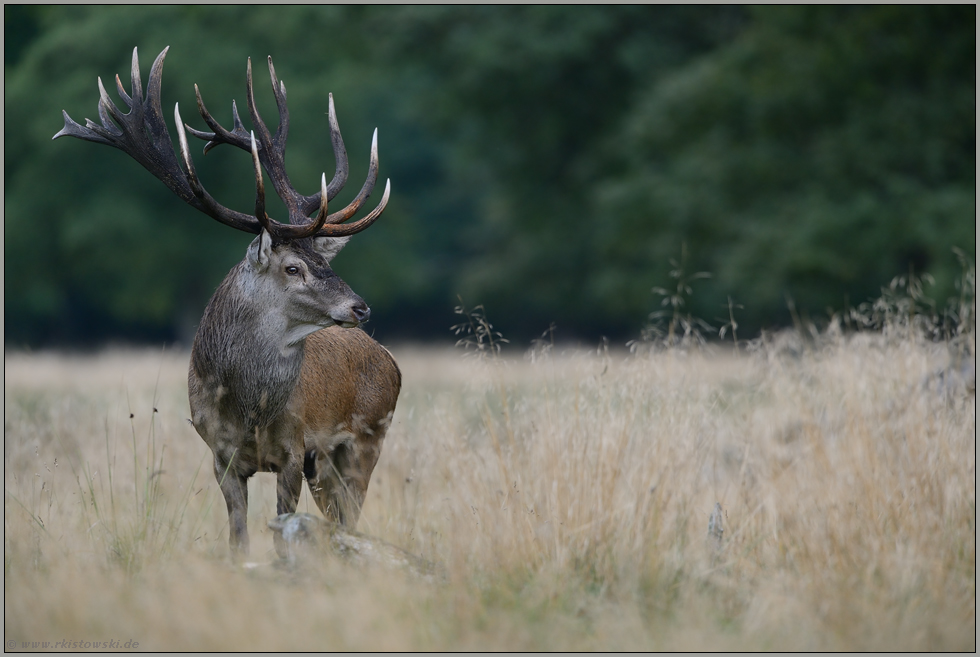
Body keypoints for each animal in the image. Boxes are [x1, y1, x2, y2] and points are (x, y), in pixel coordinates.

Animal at [54, 47, 402, 560]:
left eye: (323, 260)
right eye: (293, 268)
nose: (360, 308)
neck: (249, 412)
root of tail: (390, 360)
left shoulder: (295, 450)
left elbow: (282, 531)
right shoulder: (220, 455)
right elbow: (239, 539)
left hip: (364, 442)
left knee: (349, 520)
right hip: (330, 464)